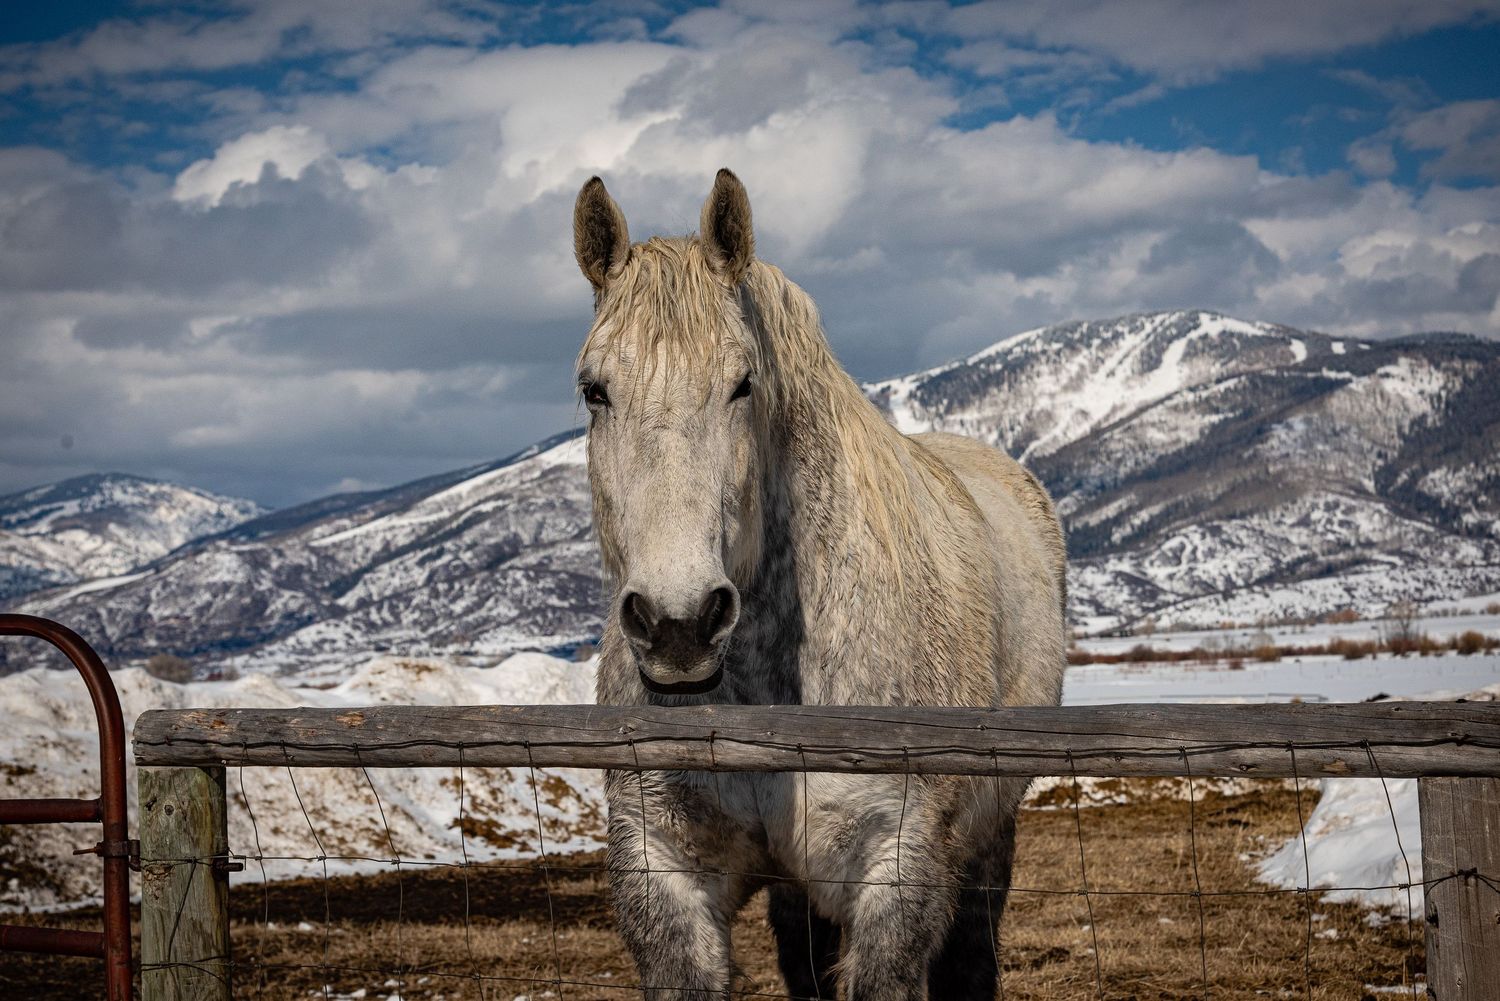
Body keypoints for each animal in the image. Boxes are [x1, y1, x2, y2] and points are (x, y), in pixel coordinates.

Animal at [572, 168, 1067, 1000]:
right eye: (593, 390)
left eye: (742, 384)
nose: (679, 624)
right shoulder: (660, 866)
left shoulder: (896, 869)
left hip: (989, 835)